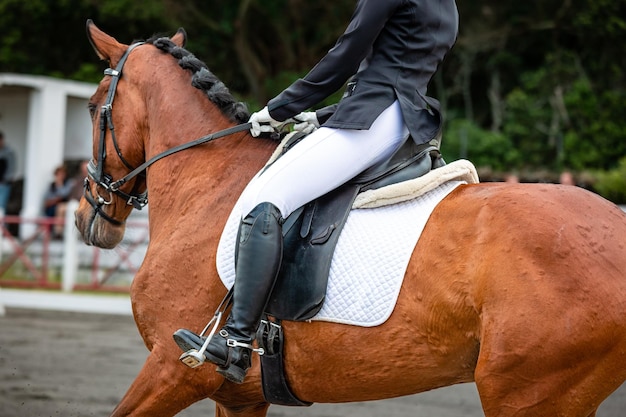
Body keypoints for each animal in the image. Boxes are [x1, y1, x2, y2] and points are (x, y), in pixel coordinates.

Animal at [77, 22, 624, 416]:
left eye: (92, 108)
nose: (88, 217)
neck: (209, 182)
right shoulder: (241, 399)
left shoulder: (173, 369)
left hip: (528, 393)